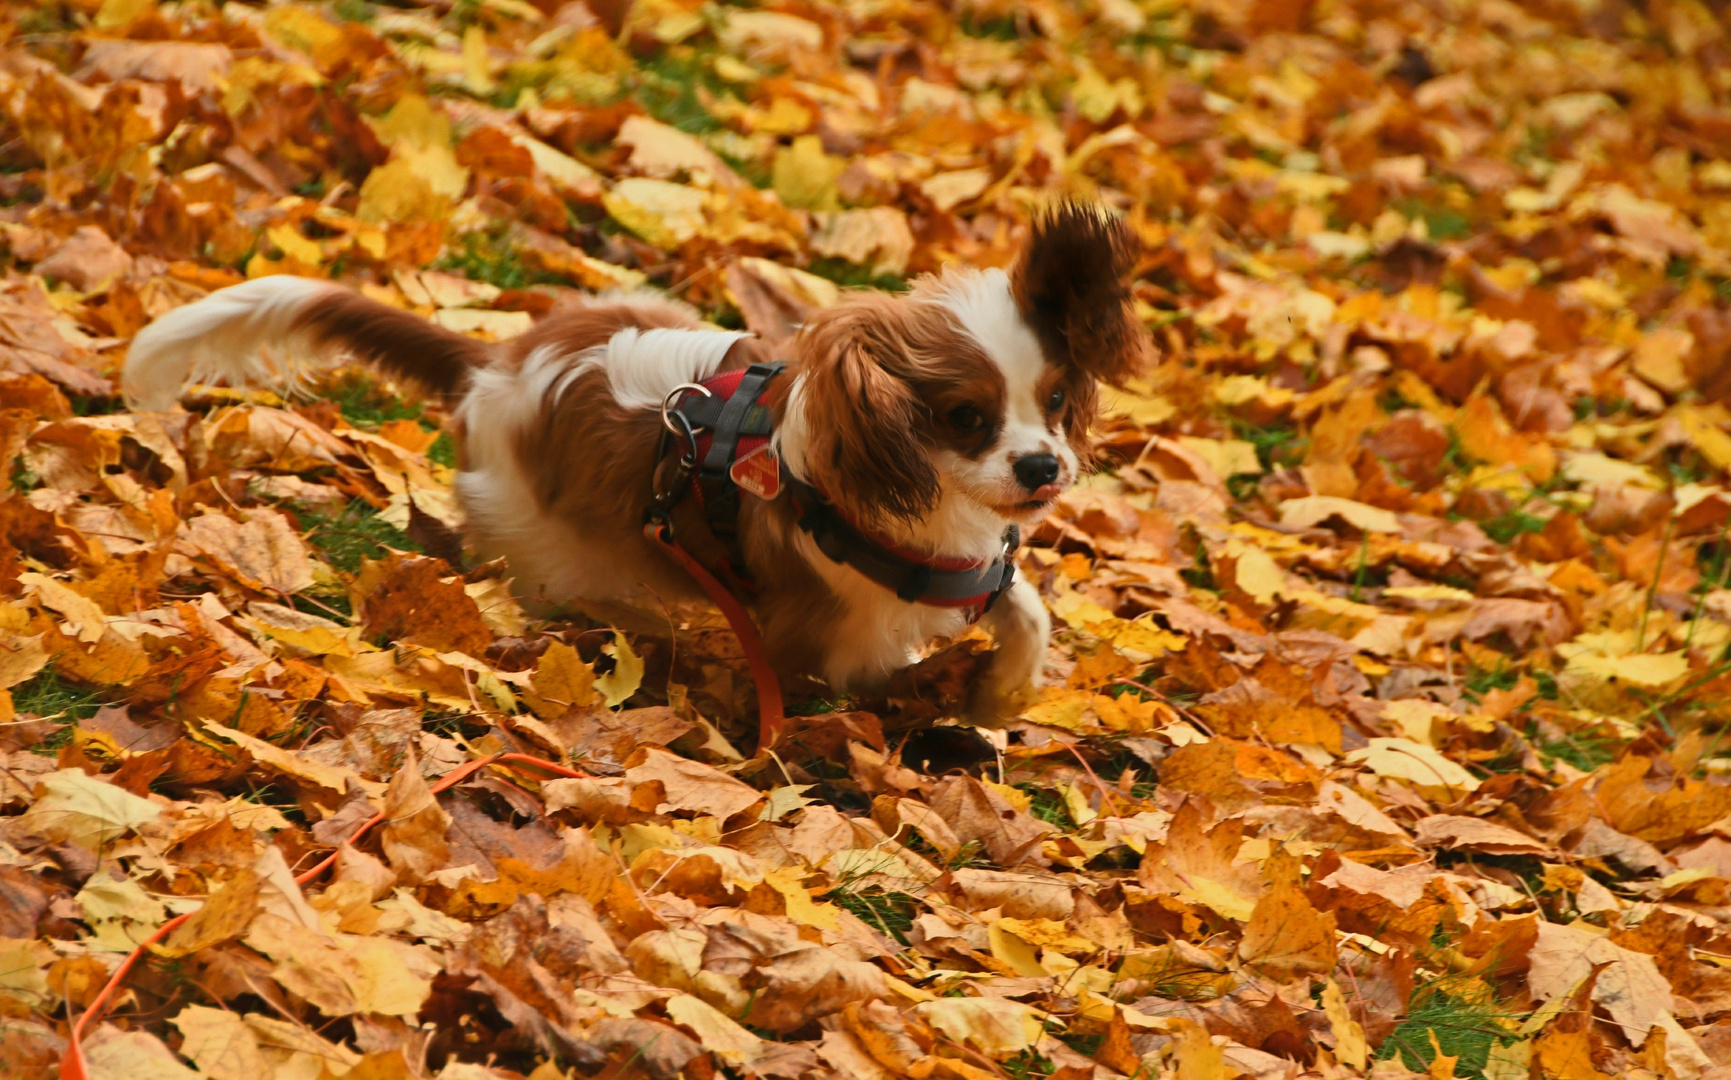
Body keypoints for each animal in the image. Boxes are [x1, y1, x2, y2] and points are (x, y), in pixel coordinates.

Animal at [122, 204, 1149, 709]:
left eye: (1055, 403)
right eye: (964, 418)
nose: (1042, 469)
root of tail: (493, 365)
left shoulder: (969, 567)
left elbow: (1022, 607)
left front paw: (1003, 692)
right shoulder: (825, 626)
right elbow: (844, 687)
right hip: (551, 544)